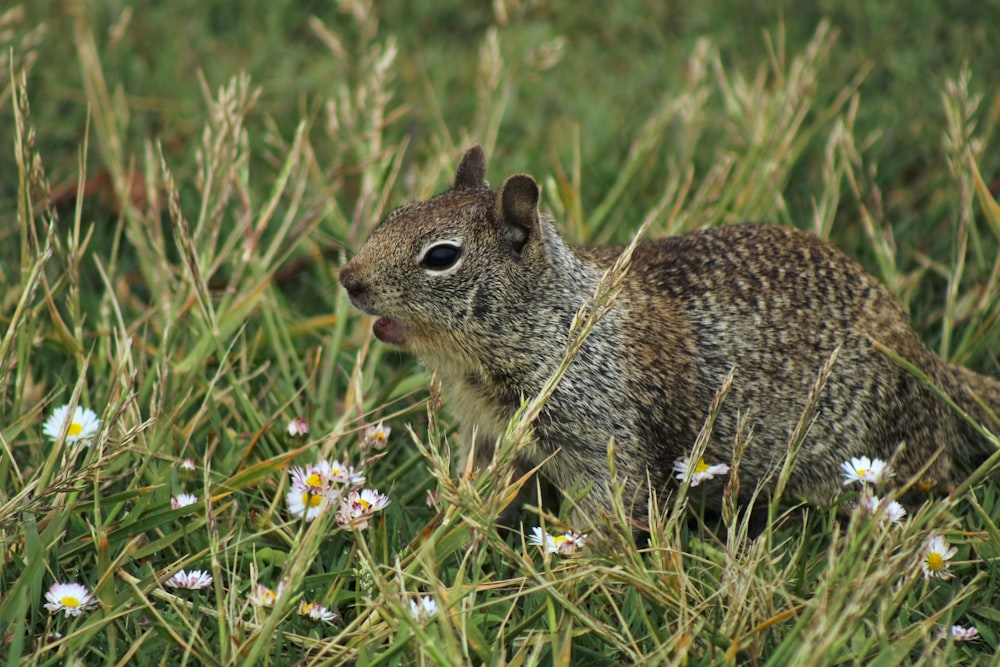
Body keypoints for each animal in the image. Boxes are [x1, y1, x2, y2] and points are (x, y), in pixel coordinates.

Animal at [338, 146, 1000, 528]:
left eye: (441, 257)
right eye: (395, 212)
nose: (348, 279)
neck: (558, 322)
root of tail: (931, 365)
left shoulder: (604, 440)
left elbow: (608, 510)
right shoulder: (487, 432)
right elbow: (481, 482)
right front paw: (451, 523)